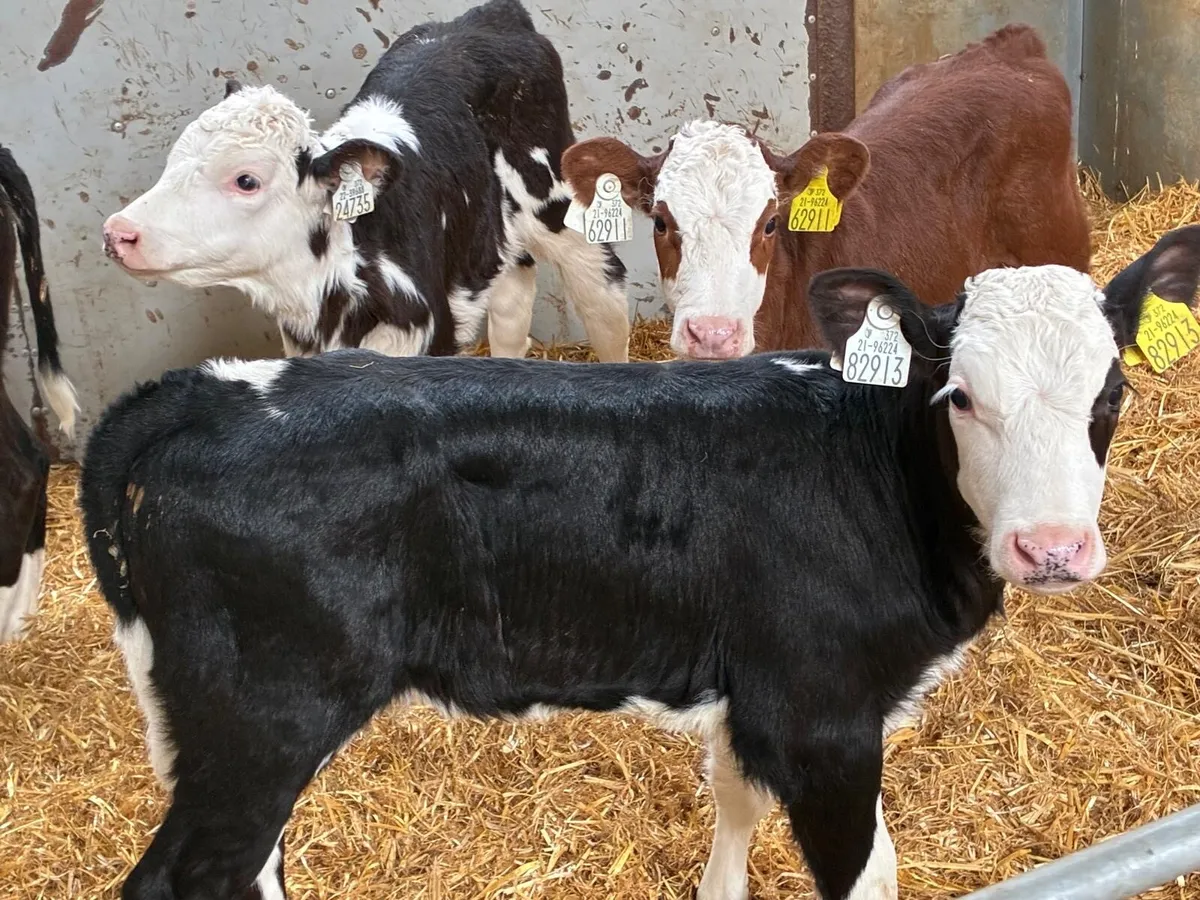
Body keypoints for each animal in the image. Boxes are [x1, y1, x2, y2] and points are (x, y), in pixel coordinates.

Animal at [80, 226, 1200, 900]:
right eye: (959, 395)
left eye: (1111, 396)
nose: (1051, 548)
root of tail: (212, 388)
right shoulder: (822, 714)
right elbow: (861, 869)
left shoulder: (761, 694)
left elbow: (751, 806)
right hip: (264, 713)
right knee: (184, 876)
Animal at [101, 0, 631, 363]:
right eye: (173, 159)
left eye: (246, 180)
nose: (118, 232)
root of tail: (488, 16)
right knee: (512, 305)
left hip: (555, 200)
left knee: (604, 295)